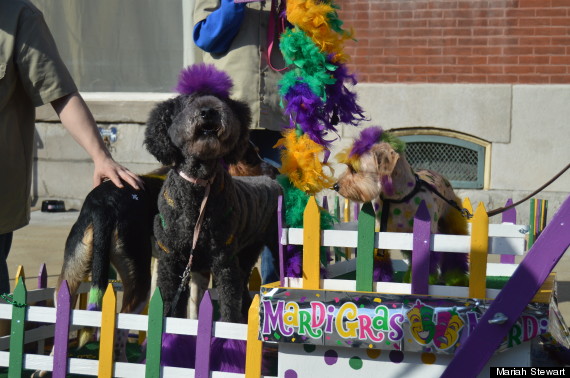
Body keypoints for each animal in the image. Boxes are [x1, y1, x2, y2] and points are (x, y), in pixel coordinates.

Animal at [145, 64, 280, 322]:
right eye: (189, 101)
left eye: (220, 100)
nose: (208, 112)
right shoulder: (171, 260)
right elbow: (169, 306)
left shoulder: (223, 259)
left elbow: (228, 306)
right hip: (247, 252)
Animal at [332, 127, 466, 286]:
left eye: (354, 169)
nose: (335, 186)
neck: (398, 199)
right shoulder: (382, 233)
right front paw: (380, 279)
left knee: (454, 254)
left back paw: (455, 279)